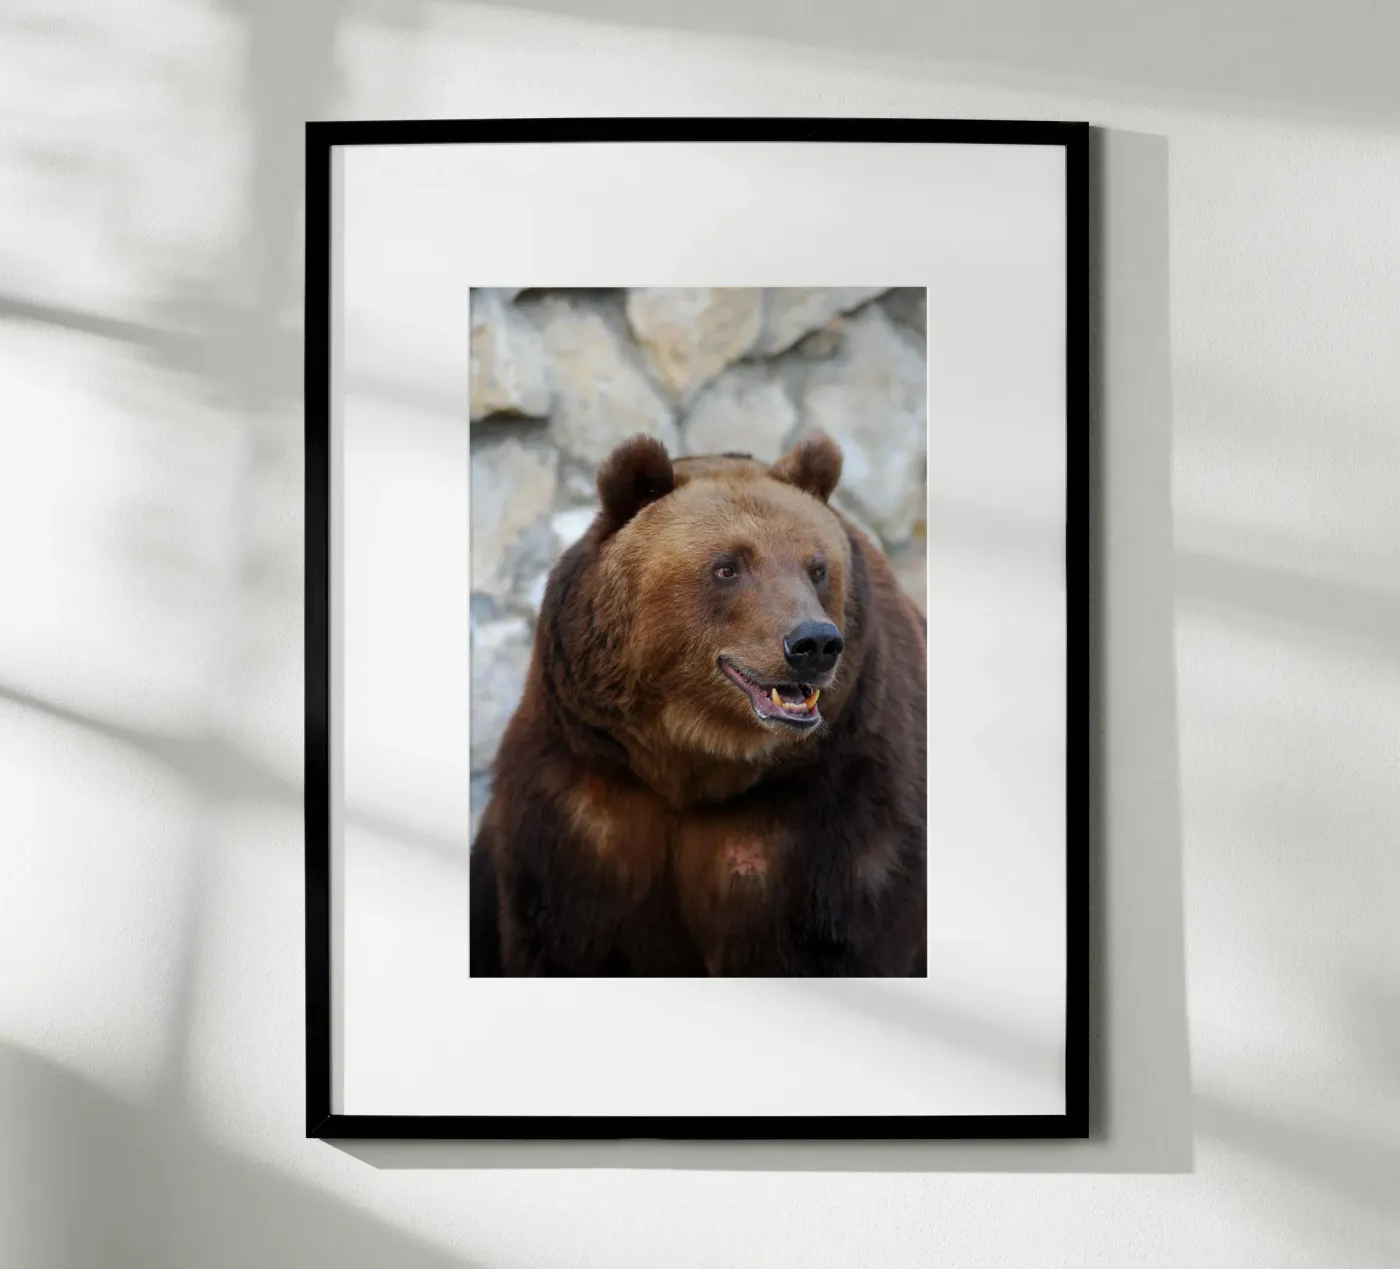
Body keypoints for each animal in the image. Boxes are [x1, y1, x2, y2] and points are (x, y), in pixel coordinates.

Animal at [469, 430, 927, 977]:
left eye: (817, 567)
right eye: (728, 566)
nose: (814, 643)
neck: (693, 760)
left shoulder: (832, 811)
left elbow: (835, 940)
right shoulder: (584, 802)